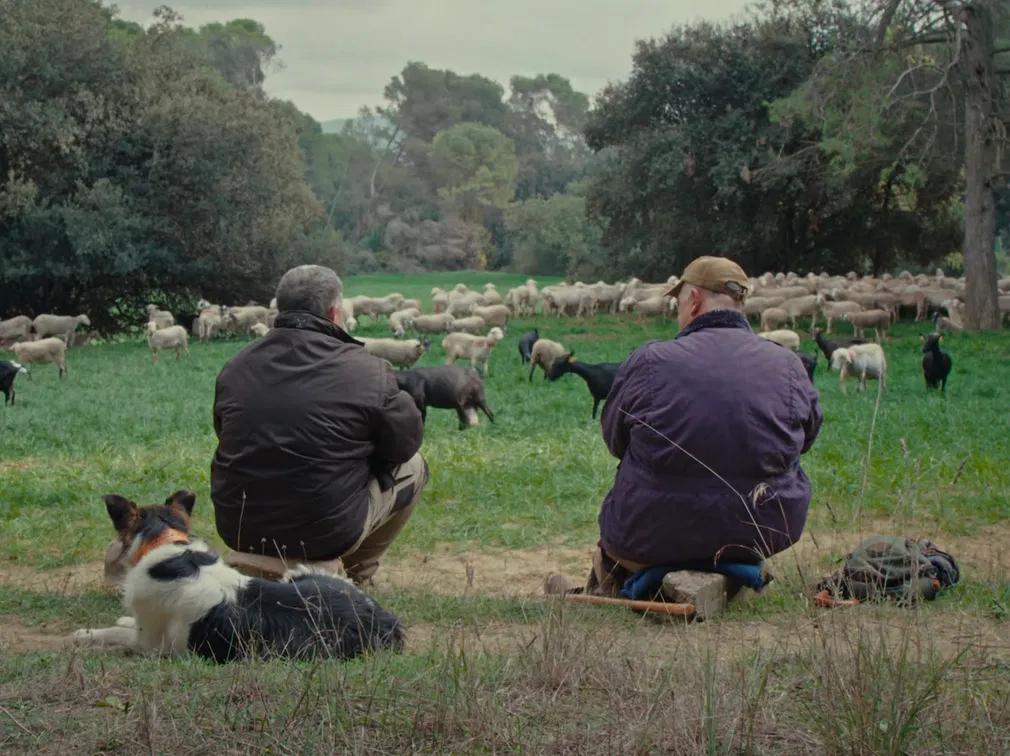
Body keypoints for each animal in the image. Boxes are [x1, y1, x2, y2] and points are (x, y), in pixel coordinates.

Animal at [73, 490, 404, 662]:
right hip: (299, 573)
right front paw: (119, 620)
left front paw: (85, 634)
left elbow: (113, 633)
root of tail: (385, 620)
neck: (167, 543)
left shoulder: (149, 643)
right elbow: (124, 624)